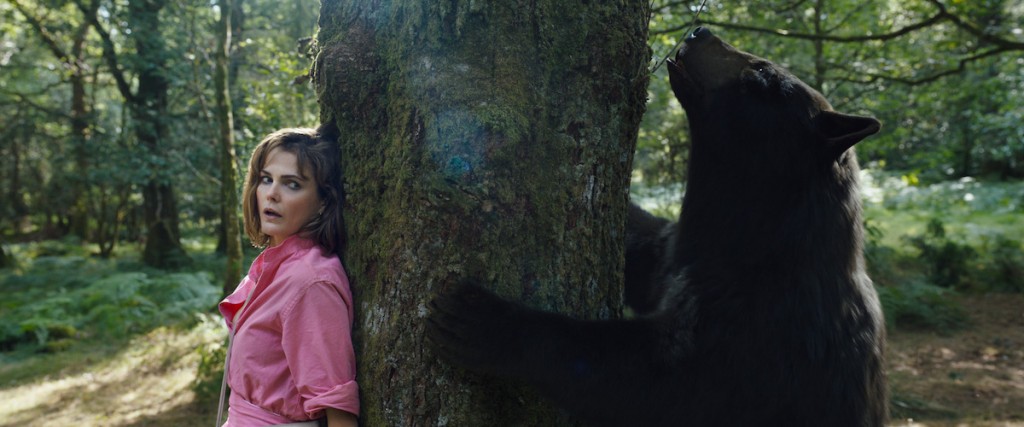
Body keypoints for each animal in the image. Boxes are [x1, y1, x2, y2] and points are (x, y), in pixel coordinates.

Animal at [427, 27, 887, 427]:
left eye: (762, 74)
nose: (700, 30)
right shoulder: (679, 254)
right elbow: (645, 250)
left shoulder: (762, 333)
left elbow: (655, 383)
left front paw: (486, 320)